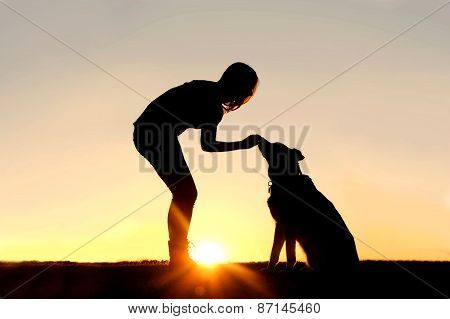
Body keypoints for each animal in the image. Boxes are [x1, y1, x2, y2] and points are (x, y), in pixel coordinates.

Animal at [260, 140, 358, 272]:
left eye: (276, 146)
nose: (260, 140)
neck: (287, 180)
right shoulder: (280, 224)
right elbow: (274, 251)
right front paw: (270, 269)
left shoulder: (290, 225)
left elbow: (290, 253)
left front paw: (288, 270)